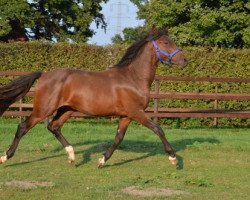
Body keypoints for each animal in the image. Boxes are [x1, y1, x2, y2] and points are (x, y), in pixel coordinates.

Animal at [0, 28, 188, 167]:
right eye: (166, 42)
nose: (185, 60)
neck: (133, 77)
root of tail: (44, 74)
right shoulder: (137, 112)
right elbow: (158, 129)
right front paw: (173, 158)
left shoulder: (126, 115)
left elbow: (118, 138)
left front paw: (102, 161)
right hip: (43, 109)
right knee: (23, 127)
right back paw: (5, 157)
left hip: (67, 109)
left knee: (54, 127)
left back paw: (72, 156)